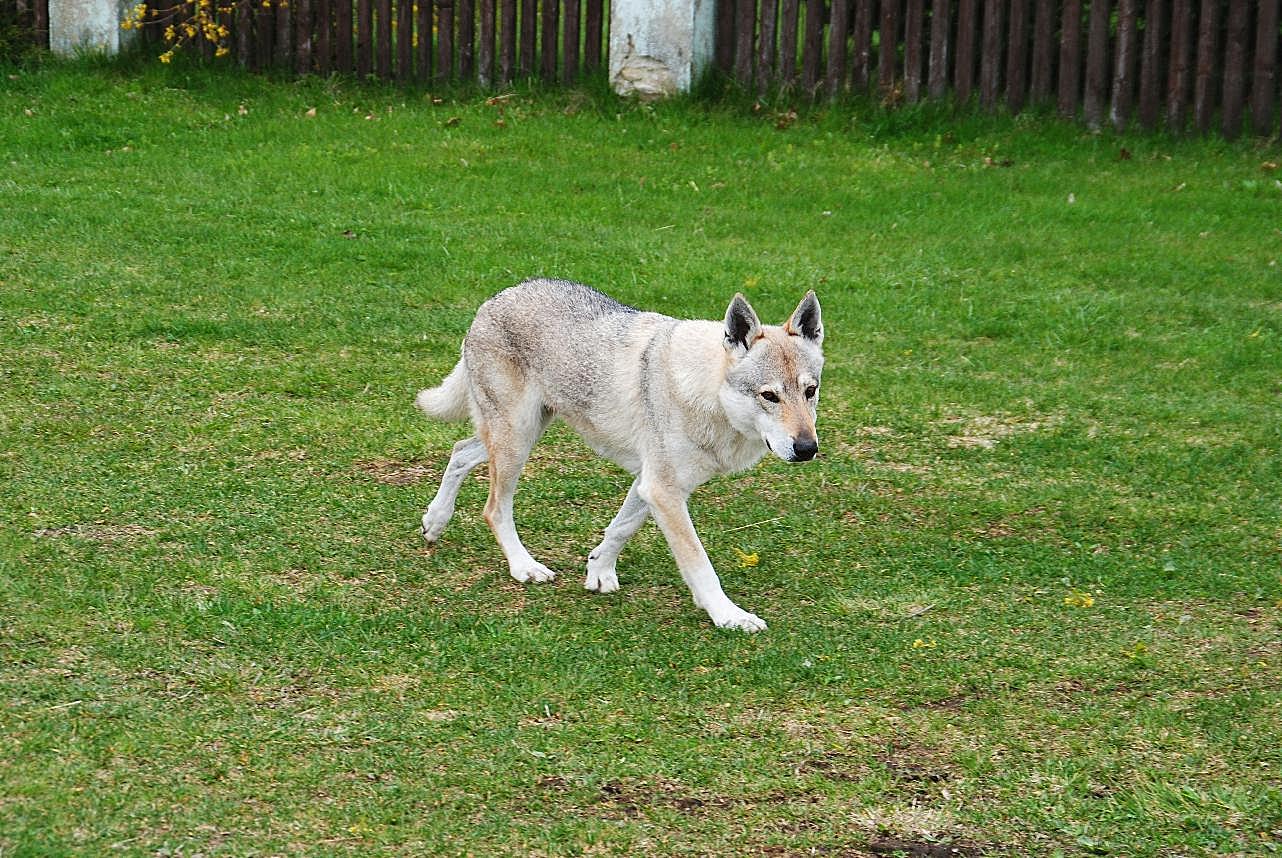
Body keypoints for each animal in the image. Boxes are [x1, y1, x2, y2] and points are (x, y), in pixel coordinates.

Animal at [415, 279, 825, 628]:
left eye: (811, 391)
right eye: (769, 395)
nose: (807, 449)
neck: (707, 392)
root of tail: (494, 299)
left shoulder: (650, 484)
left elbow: (620, 529)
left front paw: (598, 573)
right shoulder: (664, 491)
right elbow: (699, 563)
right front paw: (729, 616)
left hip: (519, 435)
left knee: (459, 452)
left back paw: (435, 521)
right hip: (516, 441)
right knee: (494, 508)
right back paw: (523, 566)